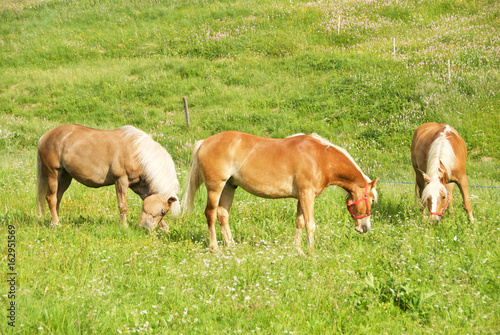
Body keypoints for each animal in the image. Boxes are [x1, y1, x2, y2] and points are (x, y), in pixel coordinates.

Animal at [37, 124, 182, 230]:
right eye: (163, 211)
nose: (147, 229)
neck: (137, 153)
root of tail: (45, 136)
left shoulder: (140, 187)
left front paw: (165, 229)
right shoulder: (121, 181)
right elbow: (123, 206)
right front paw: (124, 226)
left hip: (65, 177)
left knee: (57, 198)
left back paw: (54, 221)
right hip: (53, 174)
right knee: (51, 198)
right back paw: (56, 224)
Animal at [182, 131, 376, 252]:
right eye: (372, 200)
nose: (365, 227)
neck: (320, 157)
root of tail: (204, 142)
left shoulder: (302, 197)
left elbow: (300, 222)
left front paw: (297, 249)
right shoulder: (307, 195)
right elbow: (310, 224)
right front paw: (311, 251)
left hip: (229, 187)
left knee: (222, 214)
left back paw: (231, 246)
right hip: (215, 188)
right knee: (210, 214)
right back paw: (214, 247)